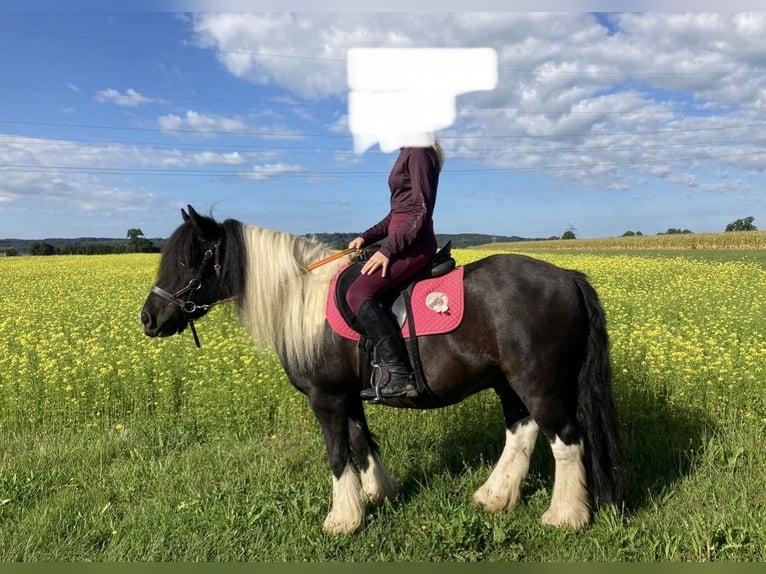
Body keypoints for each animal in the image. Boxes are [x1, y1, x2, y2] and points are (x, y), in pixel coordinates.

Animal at [140, 205, 624, 535]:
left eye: (185, 261)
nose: (148, 319)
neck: (302, 300)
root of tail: (566, 275)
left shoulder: (326, 397)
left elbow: (338, 453)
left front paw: (341, 520)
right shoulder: (349, 395)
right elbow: (361, 441)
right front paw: (375, 494)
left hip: (537, 382)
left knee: (566, 439)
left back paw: (565, 516)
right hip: (508, 382)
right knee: (522, 430)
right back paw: (494, 497)